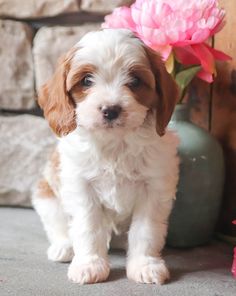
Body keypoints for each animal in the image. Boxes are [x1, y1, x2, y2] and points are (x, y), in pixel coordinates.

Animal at [32, 28, 179, 286]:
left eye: (135, 81)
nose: (111, 110)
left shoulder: (154, 187)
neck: (115, 143)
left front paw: (145, 264)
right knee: (58, 225)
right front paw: (89, 265)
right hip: (46, 195)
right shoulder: (81, 186)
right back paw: (63, 247)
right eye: (86, 81)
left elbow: (146, 229)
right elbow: (88, 226)